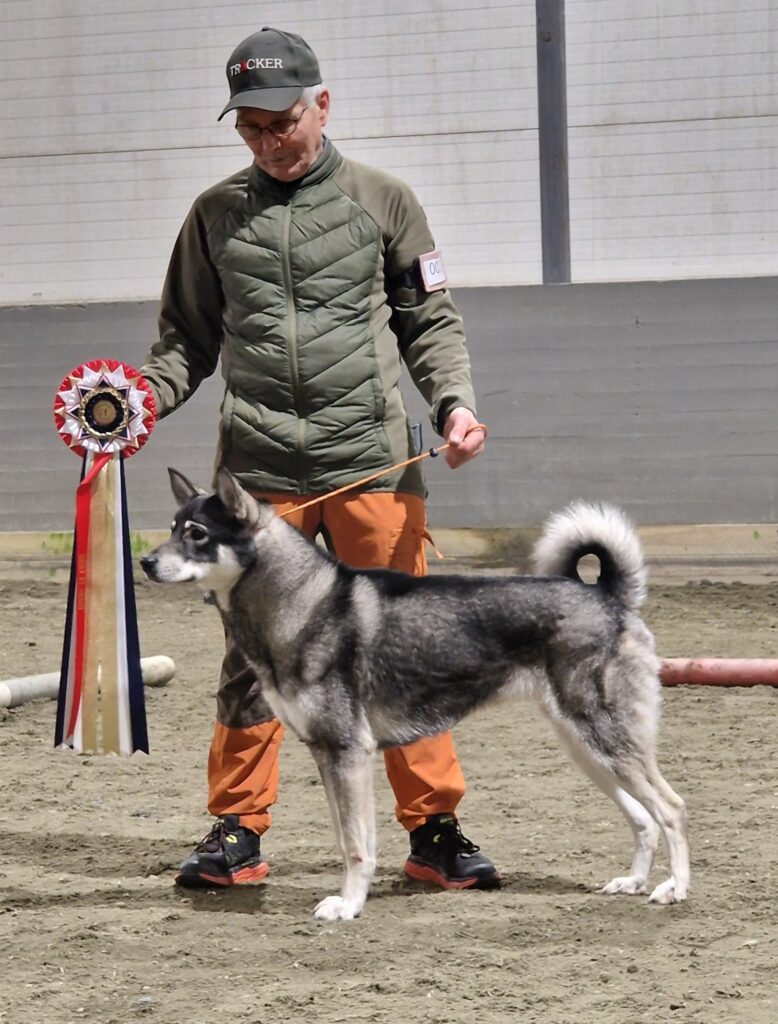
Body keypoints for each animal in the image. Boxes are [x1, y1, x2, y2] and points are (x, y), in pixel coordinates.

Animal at [140, 468, 687, 925]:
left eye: (197, 534)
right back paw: (633, 881)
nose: (145, 561)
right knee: (643, 818)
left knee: (671, 808)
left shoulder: (349, 753)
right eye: (173, 527)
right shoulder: (329, 757)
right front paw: (352, 897)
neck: (302, 604)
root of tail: (607, 597)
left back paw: (674, 888)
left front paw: (348, 905)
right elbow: (348, 837)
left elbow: (356, 846)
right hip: (587, 749)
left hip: (606, 743)